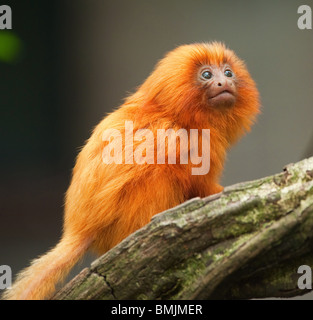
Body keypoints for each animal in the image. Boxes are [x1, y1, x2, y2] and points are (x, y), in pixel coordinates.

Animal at [2, 42, 260, 300]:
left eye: (228, 73)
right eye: (207, 75)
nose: (224, 83)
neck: (178, 115)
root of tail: (81, 228)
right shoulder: (188, 142)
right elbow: (195, 181)